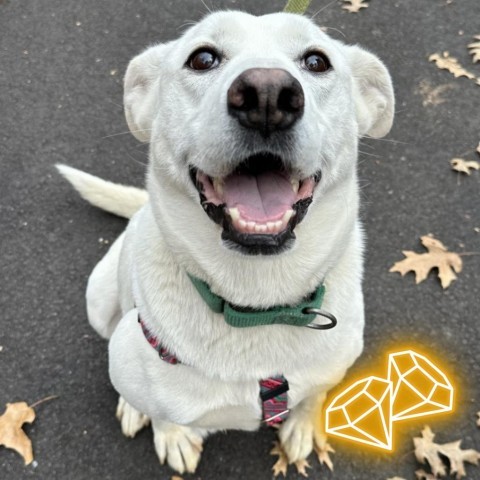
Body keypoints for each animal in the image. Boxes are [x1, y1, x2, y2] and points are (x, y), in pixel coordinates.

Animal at [57, 9, 394, 474]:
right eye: (202, 59)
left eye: (316, 61)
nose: (267, 95)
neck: (258, 303)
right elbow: (162, 411)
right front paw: (171, 432)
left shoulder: (331, 367)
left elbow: (314, 396)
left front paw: (304, 425)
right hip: (99, 295)